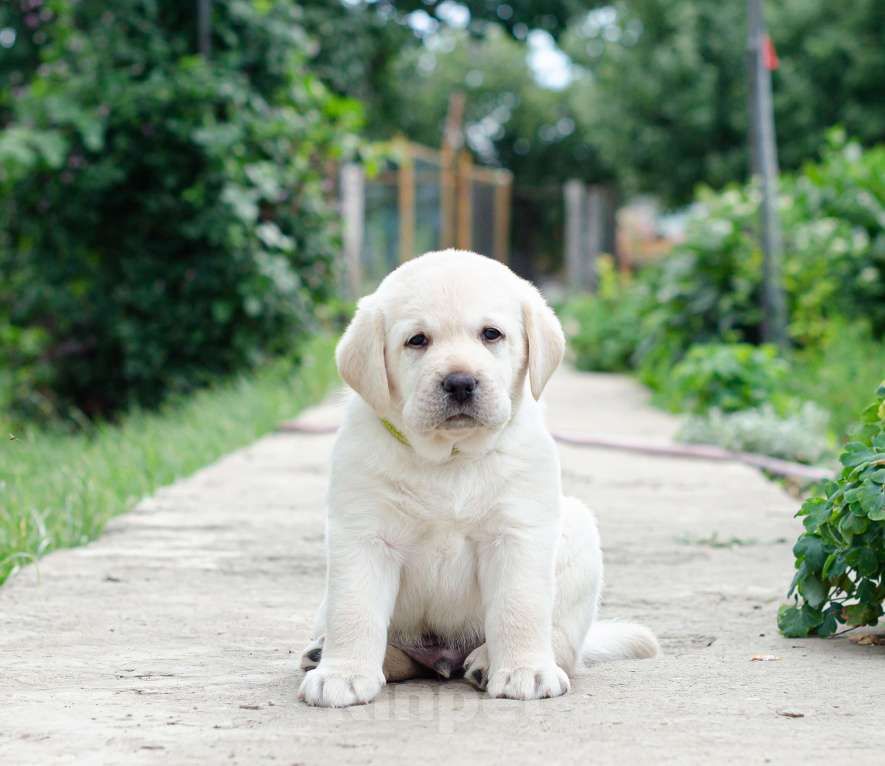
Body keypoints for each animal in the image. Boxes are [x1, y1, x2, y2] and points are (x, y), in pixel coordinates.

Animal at [298, 250, 656, 708]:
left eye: (491, 334)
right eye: (417, 340)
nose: (460, 382)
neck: (452, 457)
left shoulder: (518, 531)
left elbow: (519, 608)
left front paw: (524, 670)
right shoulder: (363, 534)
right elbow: (354, 609)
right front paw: (342, 674)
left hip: (576, 532)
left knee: (561, 641)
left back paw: (492, 661)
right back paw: (329, 655)